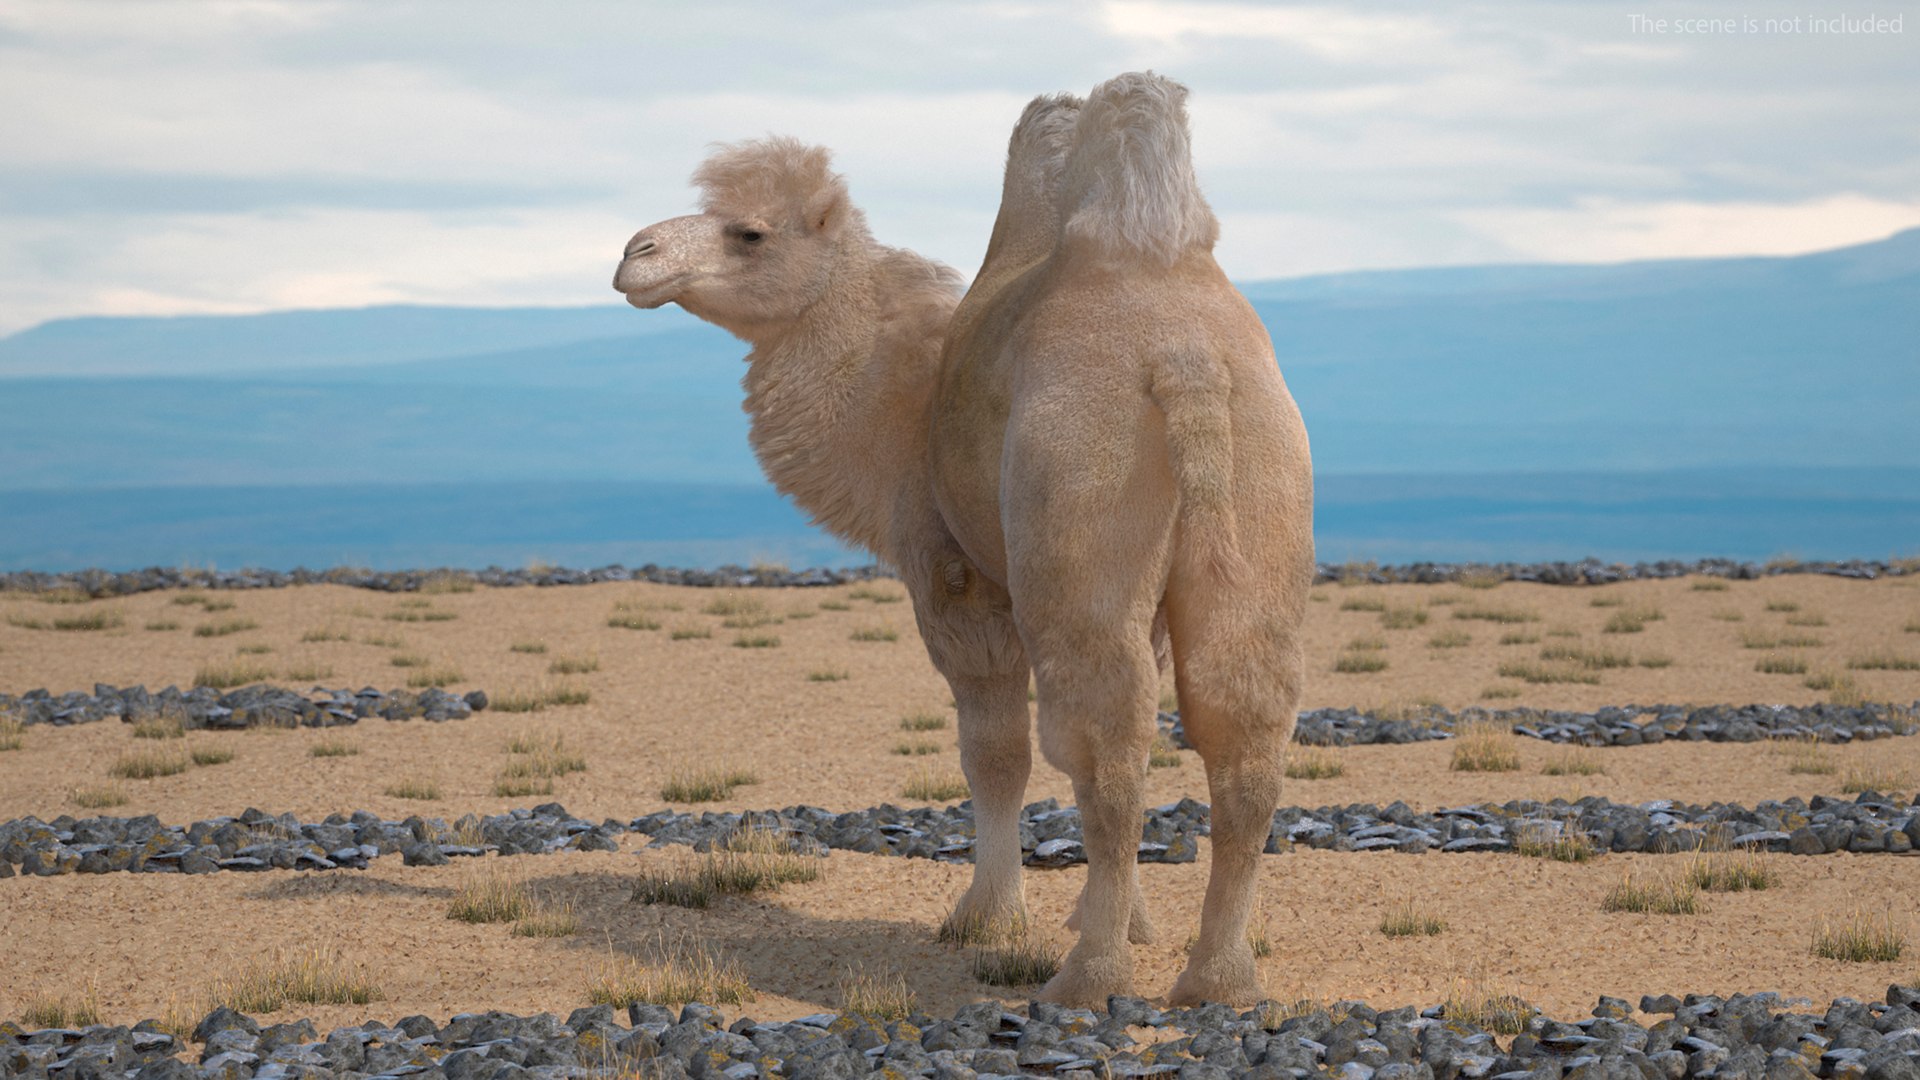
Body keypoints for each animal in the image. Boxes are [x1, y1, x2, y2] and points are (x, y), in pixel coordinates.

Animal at [611, 71, 1313, 1007]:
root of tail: (1183, 355)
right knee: (1243, 729)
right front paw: (1123, 918)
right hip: (1265, 490)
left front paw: (987, 918)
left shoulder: (954, 572)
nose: (635, 252)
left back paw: (1088, 978)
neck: (905, 395)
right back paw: (1217, 979)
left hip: (1077, 503)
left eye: (749, 232)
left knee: (1102, 741)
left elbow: (994, 752)